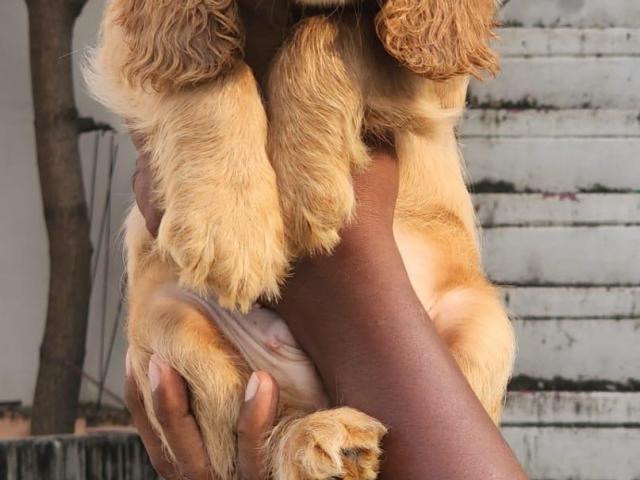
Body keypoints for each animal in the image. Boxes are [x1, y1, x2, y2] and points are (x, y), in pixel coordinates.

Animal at [87, 0, 515, 478]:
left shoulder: (431, 80)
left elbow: (330, 31)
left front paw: (307, 188)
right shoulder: (127, 50)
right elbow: (212, 67)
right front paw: (230, 229)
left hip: (481, 329)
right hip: (171, 329)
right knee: (250, 434)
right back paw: (321, 439)